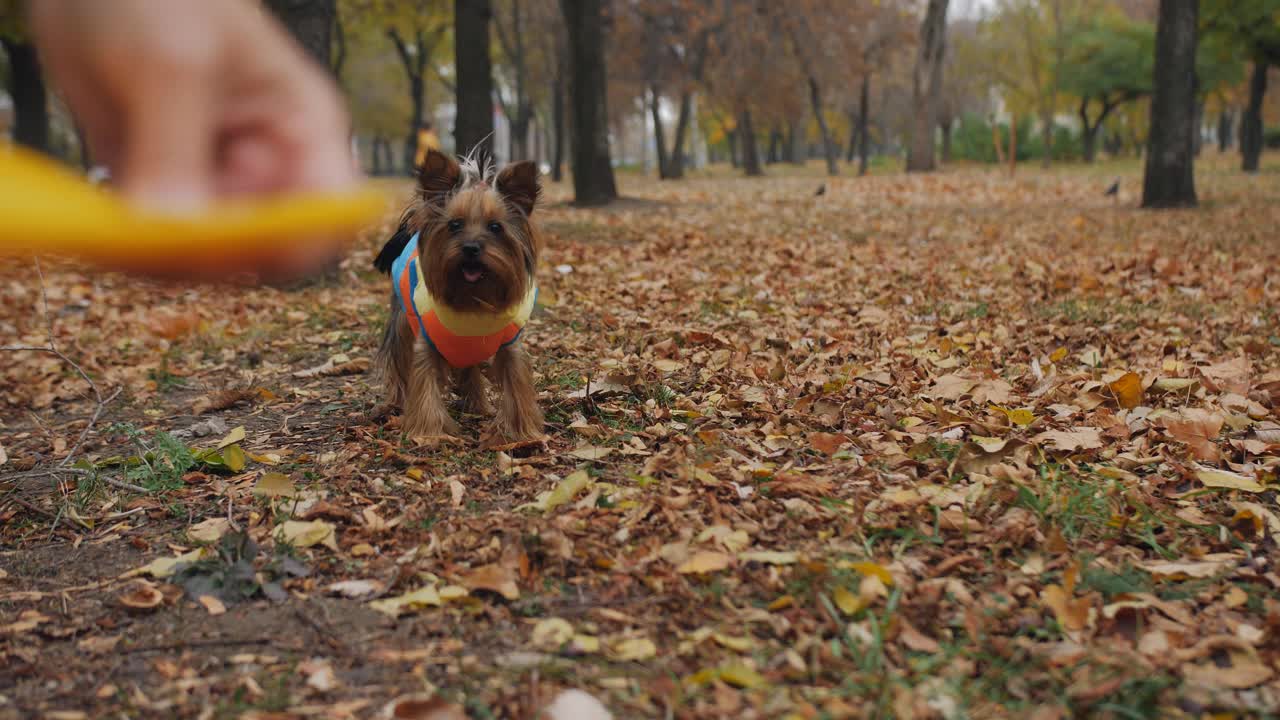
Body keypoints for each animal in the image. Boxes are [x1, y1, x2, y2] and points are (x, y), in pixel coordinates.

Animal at [373, 148, 545, 443]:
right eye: (454, 225)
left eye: (496, 227)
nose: (471, 247)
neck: (472, 299)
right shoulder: (427, 344)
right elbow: (424, 384)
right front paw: (429, 434)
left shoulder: (509, 346)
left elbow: (516, 385)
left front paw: (521, 431)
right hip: (402, 323)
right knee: (398, 360)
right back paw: (395, 402)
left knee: (469, 369)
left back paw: (478, 405)